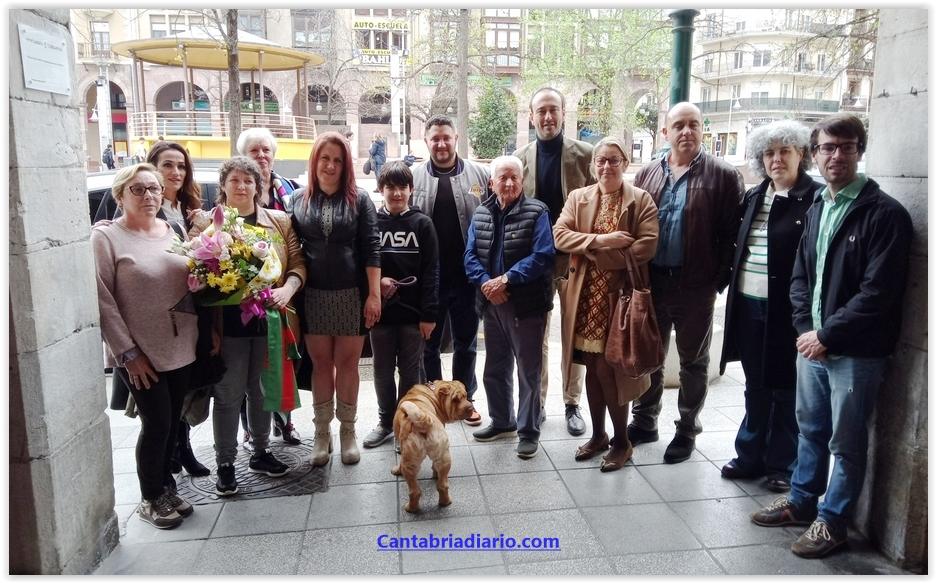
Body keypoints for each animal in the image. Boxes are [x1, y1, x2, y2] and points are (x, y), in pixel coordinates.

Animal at [390, 380, 476, 512]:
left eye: (465, 396)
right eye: (455, 399)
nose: (470, 407)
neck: (433, 392)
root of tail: (424, 420)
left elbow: (400, 461)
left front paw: (396, 470)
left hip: (410, 462)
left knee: (414, 491)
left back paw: (411, 508)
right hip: (443, 457)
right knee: (441, 486)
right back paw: (444, 502)